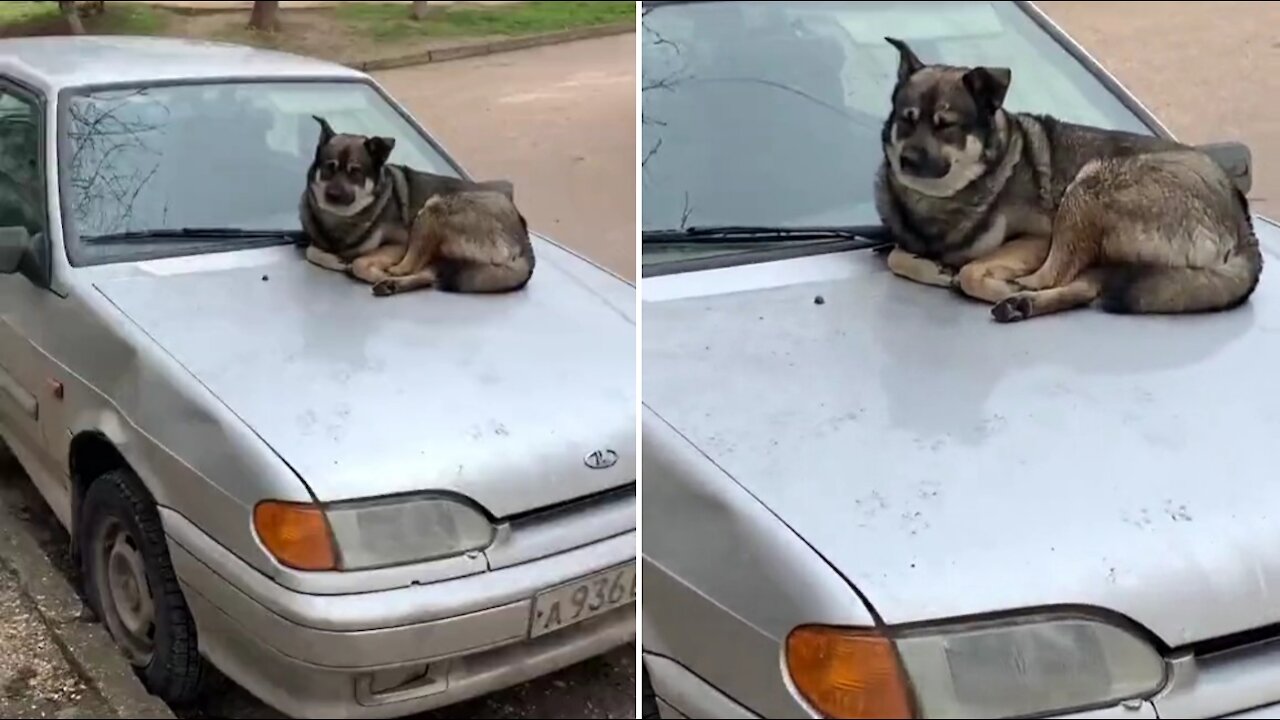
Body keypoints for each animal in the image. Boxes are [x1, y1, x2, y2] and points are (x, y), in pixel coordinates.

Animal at [296, 114, 532, 294]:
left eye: (355, 172)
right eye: (329, 168)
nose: (333, 195)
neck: (341, 221)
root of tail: (524, 244)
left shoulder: (399, 244)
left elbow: (358, 262)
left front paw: (361, 268)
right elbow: (311, 251)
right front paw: (336, 260)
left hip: (433, 209)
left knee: (409, 267)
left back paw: (387, 277)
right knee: (428, 274)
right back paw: (391, 285)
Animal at [870, 36, 1259, 322]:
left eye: (945, 126)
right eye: (906, 120)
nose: (907, 160)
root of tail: (1244, 227)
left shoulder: (1038, 238)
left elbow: (970, 269)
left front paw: (971, 277)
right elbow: (896, 257)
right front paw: (932, 267)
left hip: (1088, 187)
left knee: (1054, 276)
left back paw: (1018, 293)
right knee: (1083, 285)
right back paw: (1023, 304)